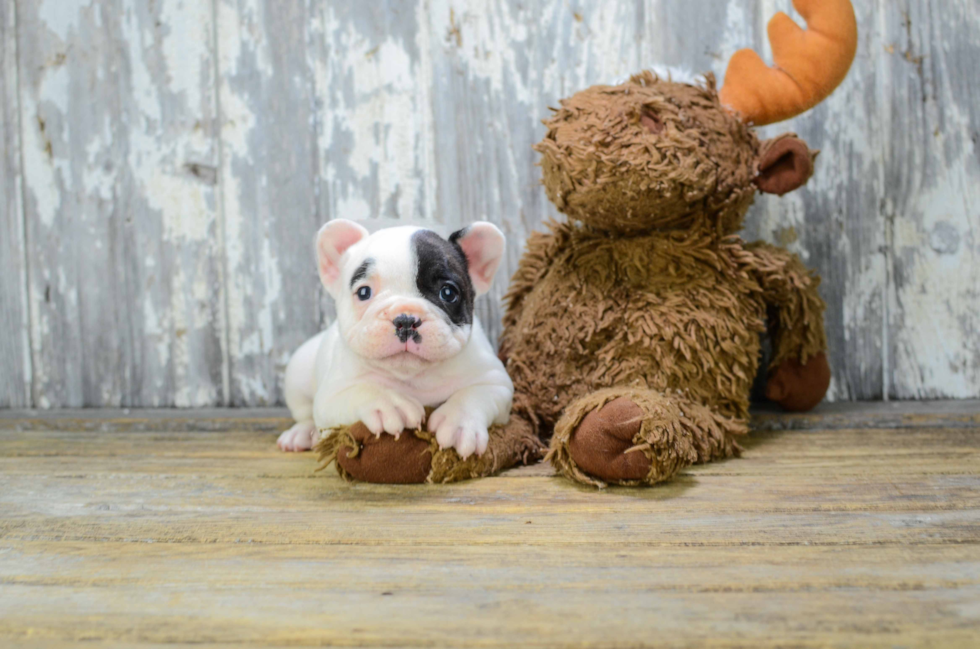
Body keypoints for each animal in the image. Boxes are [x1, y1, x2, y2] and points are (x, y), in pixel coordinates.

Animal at [276, 220, 512, 458]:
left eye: (448, 293)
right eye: (363, 292)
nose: (406, 319)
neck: (411, 375)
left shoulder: (496, 381)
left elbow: (475, 394)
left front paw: (459, 423)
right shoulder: (330, 397)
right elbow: (361, 390)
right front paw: (389, 404)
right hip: (297, 376)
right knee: (305, 414)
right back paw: (300, 434)